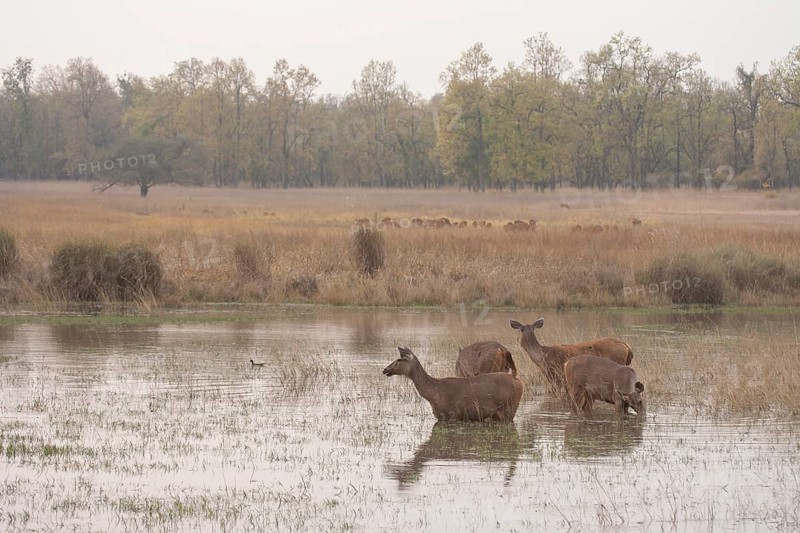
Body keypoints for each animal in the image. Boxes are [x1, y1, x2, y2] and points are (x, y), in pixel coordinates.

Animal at [382, 347, 524, 422]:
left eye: (399, 359)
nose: (385, 369)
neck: (432, 394)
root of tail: (517, 379)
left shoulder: (450, 415)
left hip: (509, 409)